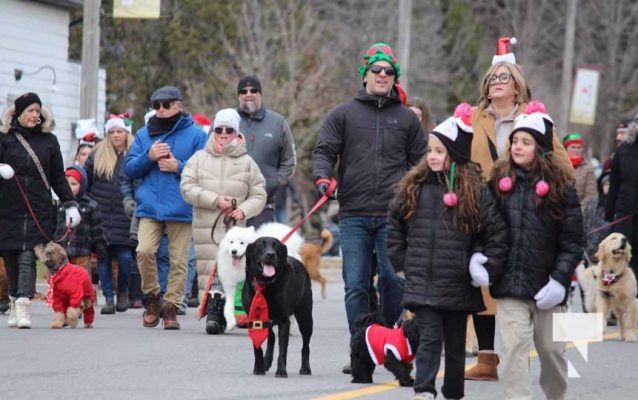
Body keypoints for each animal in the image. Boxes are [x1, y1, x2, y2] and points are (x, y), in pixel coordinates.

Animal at [242, 236, 316, 376]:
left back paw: (305, 368)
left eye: (276, 245)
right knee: (271, 338)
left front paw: (281, 371)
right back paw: (266, 362)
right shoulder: (254, 320)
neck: (265, 284)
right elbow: (257, 348)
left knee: (306, 346)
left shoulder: (284, 321)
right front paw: (258, 368)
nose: (270, 254)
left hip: (305, 318)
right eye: (260, 245)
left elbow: (282, 350)